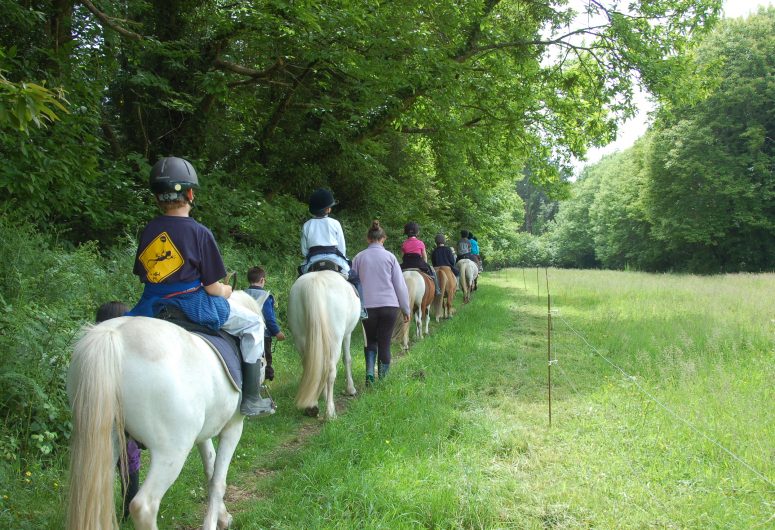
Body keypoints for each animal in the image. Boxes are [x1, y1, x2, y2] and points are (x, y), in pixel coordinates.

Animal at [67, 288, 260, 528]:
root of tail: (113, 337)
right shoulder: (233, 428)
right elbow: (218, 480)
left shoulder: (203, 433)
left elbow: (210, 465)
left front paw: (222, 516)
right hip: (171, 451)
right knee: (144, 506)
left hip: (104, 442)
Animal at [288, 270, 360, 418]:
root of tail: (314, 283)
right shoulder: (347, 334)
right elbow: (347, 359)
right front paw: (350, 388)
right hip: (335, 339)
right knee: (331, 370)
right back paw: (330, 412)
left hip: (300, 339)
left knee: (311, 367)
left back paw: (312, 406)